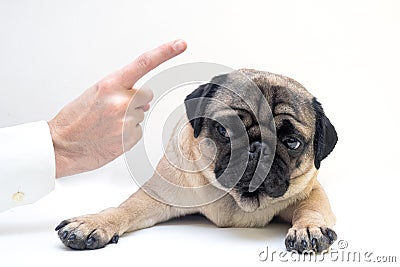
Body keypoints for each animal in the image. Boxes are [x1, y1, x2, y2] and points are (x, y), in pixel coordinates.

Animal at [55, 69, 338, 253]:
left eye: (292, 142)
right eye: (223, 129)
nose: (257, 147)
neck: (237, 200)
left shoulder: (310, 190)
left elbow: (310, 208)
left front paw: (309, 228)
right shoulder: (157, 195)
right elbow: (126, 209)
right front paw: (94, 223)